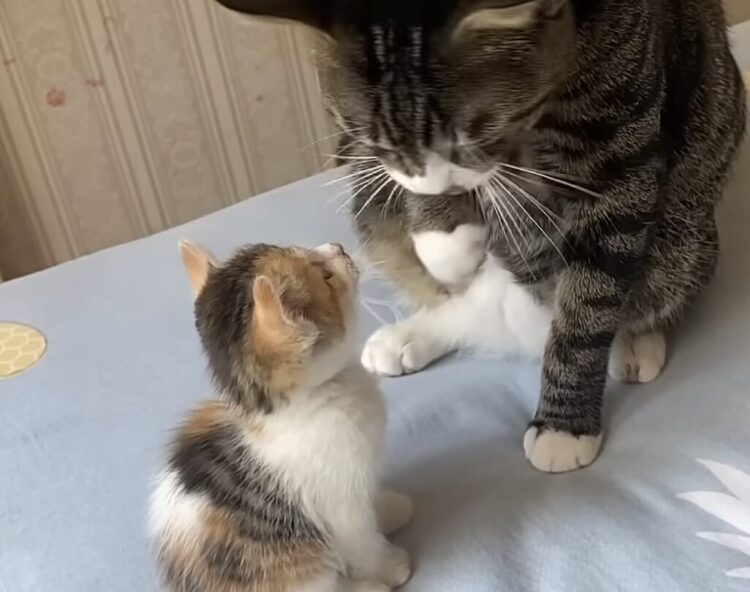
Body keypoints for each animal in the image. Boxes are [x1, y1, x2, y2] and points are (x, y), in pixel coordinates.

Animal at [150, 242, 414, 592]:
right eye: (326, 276)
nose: (338, 247)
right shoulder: (342, 506)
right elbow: (363, 543)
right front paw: (389, 565)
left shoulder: (359, 485)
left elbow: (371, 506)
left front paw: (390, 510)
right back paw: (368, 587)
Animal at [214, 0, 748, 472]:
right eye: (374, 136)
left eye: (475, 132)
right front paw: (446, 235)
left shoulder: (618, 156)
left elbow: (587, 306)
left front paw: (564, 425)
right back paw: (414, 331)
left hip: (682, 241)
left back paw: (631, 344)